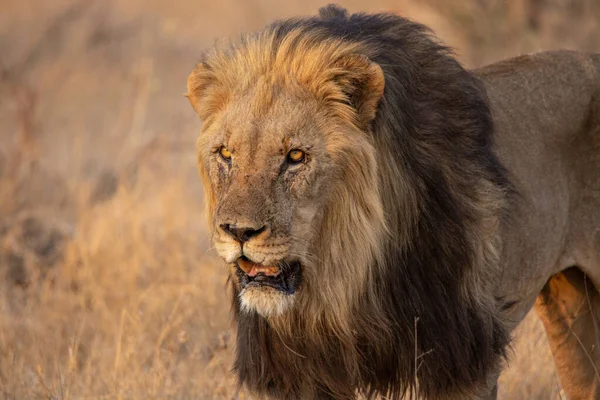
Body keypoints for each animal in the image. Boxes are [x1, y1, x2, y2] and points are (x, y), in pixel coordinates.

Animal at [186, 4, 600, 398]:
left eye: (296, 157)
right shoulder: (299, 374)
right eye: (226, 154)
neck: (344, 280)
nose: (238, 232)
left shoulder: (462, 360)